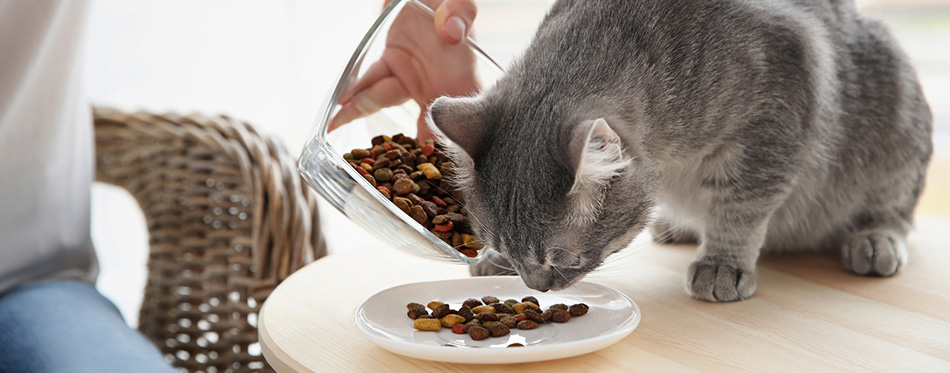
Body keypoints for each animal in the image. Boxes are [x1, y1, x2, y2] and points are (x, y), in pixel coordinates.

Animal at [428, 0, 932, 300]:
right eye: (504, 248)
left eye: (566, 260)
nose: (538, 289)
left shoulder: (774, 124)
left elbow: (741, 209)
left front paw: (722, 263)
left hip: (899, 135)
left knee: (894, 213)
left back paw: (874, 240)